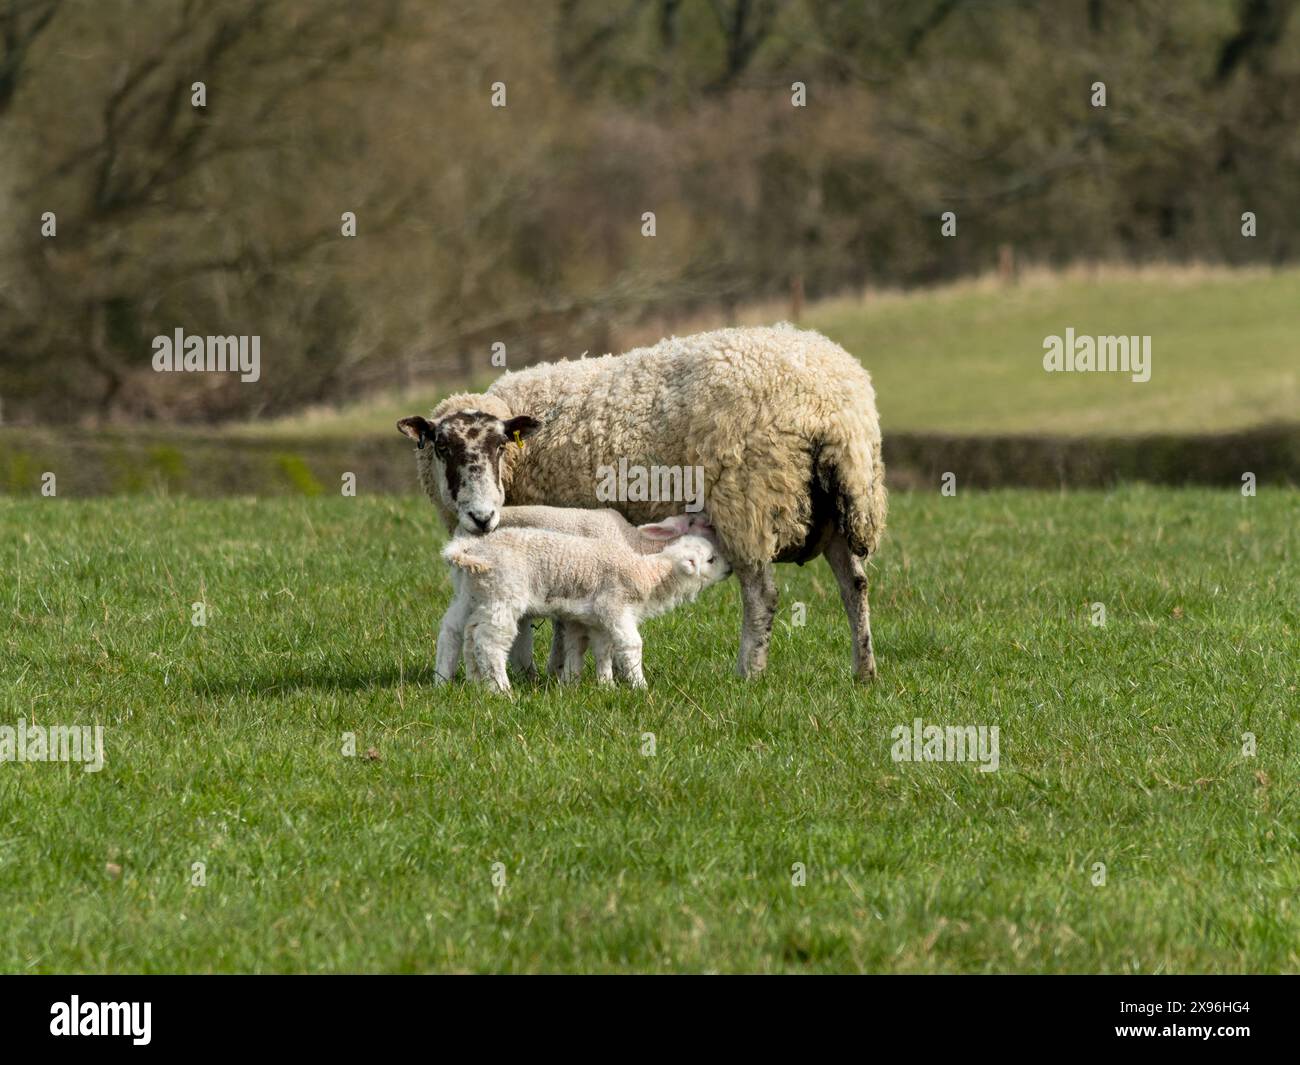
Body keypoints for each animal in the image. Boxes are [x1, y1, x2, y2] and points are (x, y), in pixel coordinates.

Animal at [441, 530, 731, 692]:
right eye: (711, 559)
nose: (730, 568)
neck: (648, 574)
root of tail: (474, 550)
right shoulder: (614, 605)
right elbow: (630, 644)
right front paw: (640, 687)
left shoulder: (597, 620)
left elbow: (601, 649)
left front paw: (605, 686)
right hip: (503, 593)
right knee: (488, 641)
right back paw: (500, 690)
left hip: (474, 594)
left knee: (459, 631)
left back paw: (458, 681)